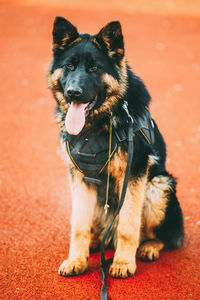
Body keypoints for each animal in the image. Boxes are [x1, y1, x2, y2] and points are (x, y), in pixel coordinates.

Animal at [47, 17, 184, 278]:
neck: (99, 124)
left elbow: (128, 225)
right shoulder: (80, 177)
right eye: (69, 66)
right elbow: (79, 224)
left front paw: (122, 262)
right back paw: (94, 242)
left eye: (94, 68)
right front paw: (76, 259)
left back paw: (148, 247)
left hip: (158, 186)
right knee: (95, 229)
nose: (73, 93)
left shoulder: (135, 174)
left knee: (161, 236)